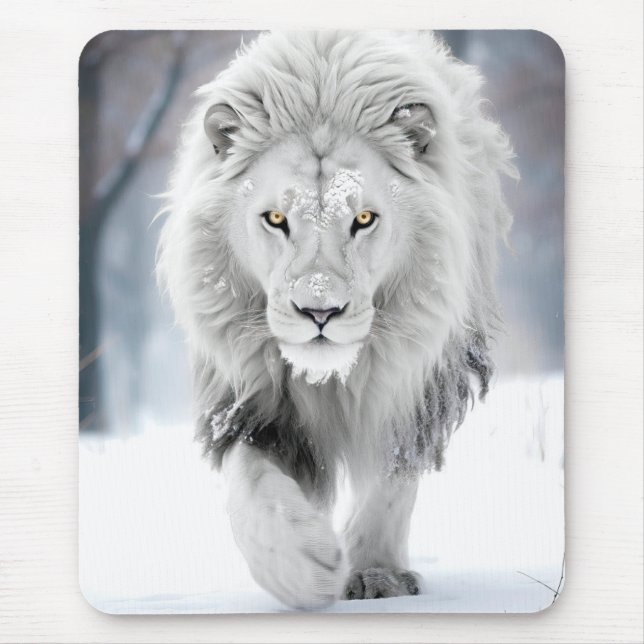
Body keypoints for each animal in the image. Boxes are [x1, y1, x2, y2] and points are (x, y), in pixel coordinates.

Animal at [157, 30, 516, 609]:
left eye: (363, 218)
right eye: (276, 218)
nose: (319, 311)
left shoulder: (417, 382)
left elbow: (392, 477)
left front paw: (375, 573)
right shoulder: (247, 399)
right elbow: (249, 485)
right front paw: (305, 565)